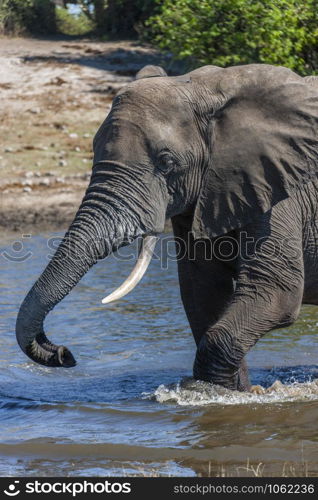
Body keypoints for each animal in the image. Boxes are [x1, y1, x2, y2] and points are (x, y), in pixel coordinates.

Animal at [16, 63, 318, 390]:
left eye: (166, 162)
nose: (65, 354)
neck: (209, 90)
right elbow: (202, 294)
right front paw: (229, 391)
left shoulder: (278, 189)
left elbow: (275, 291)